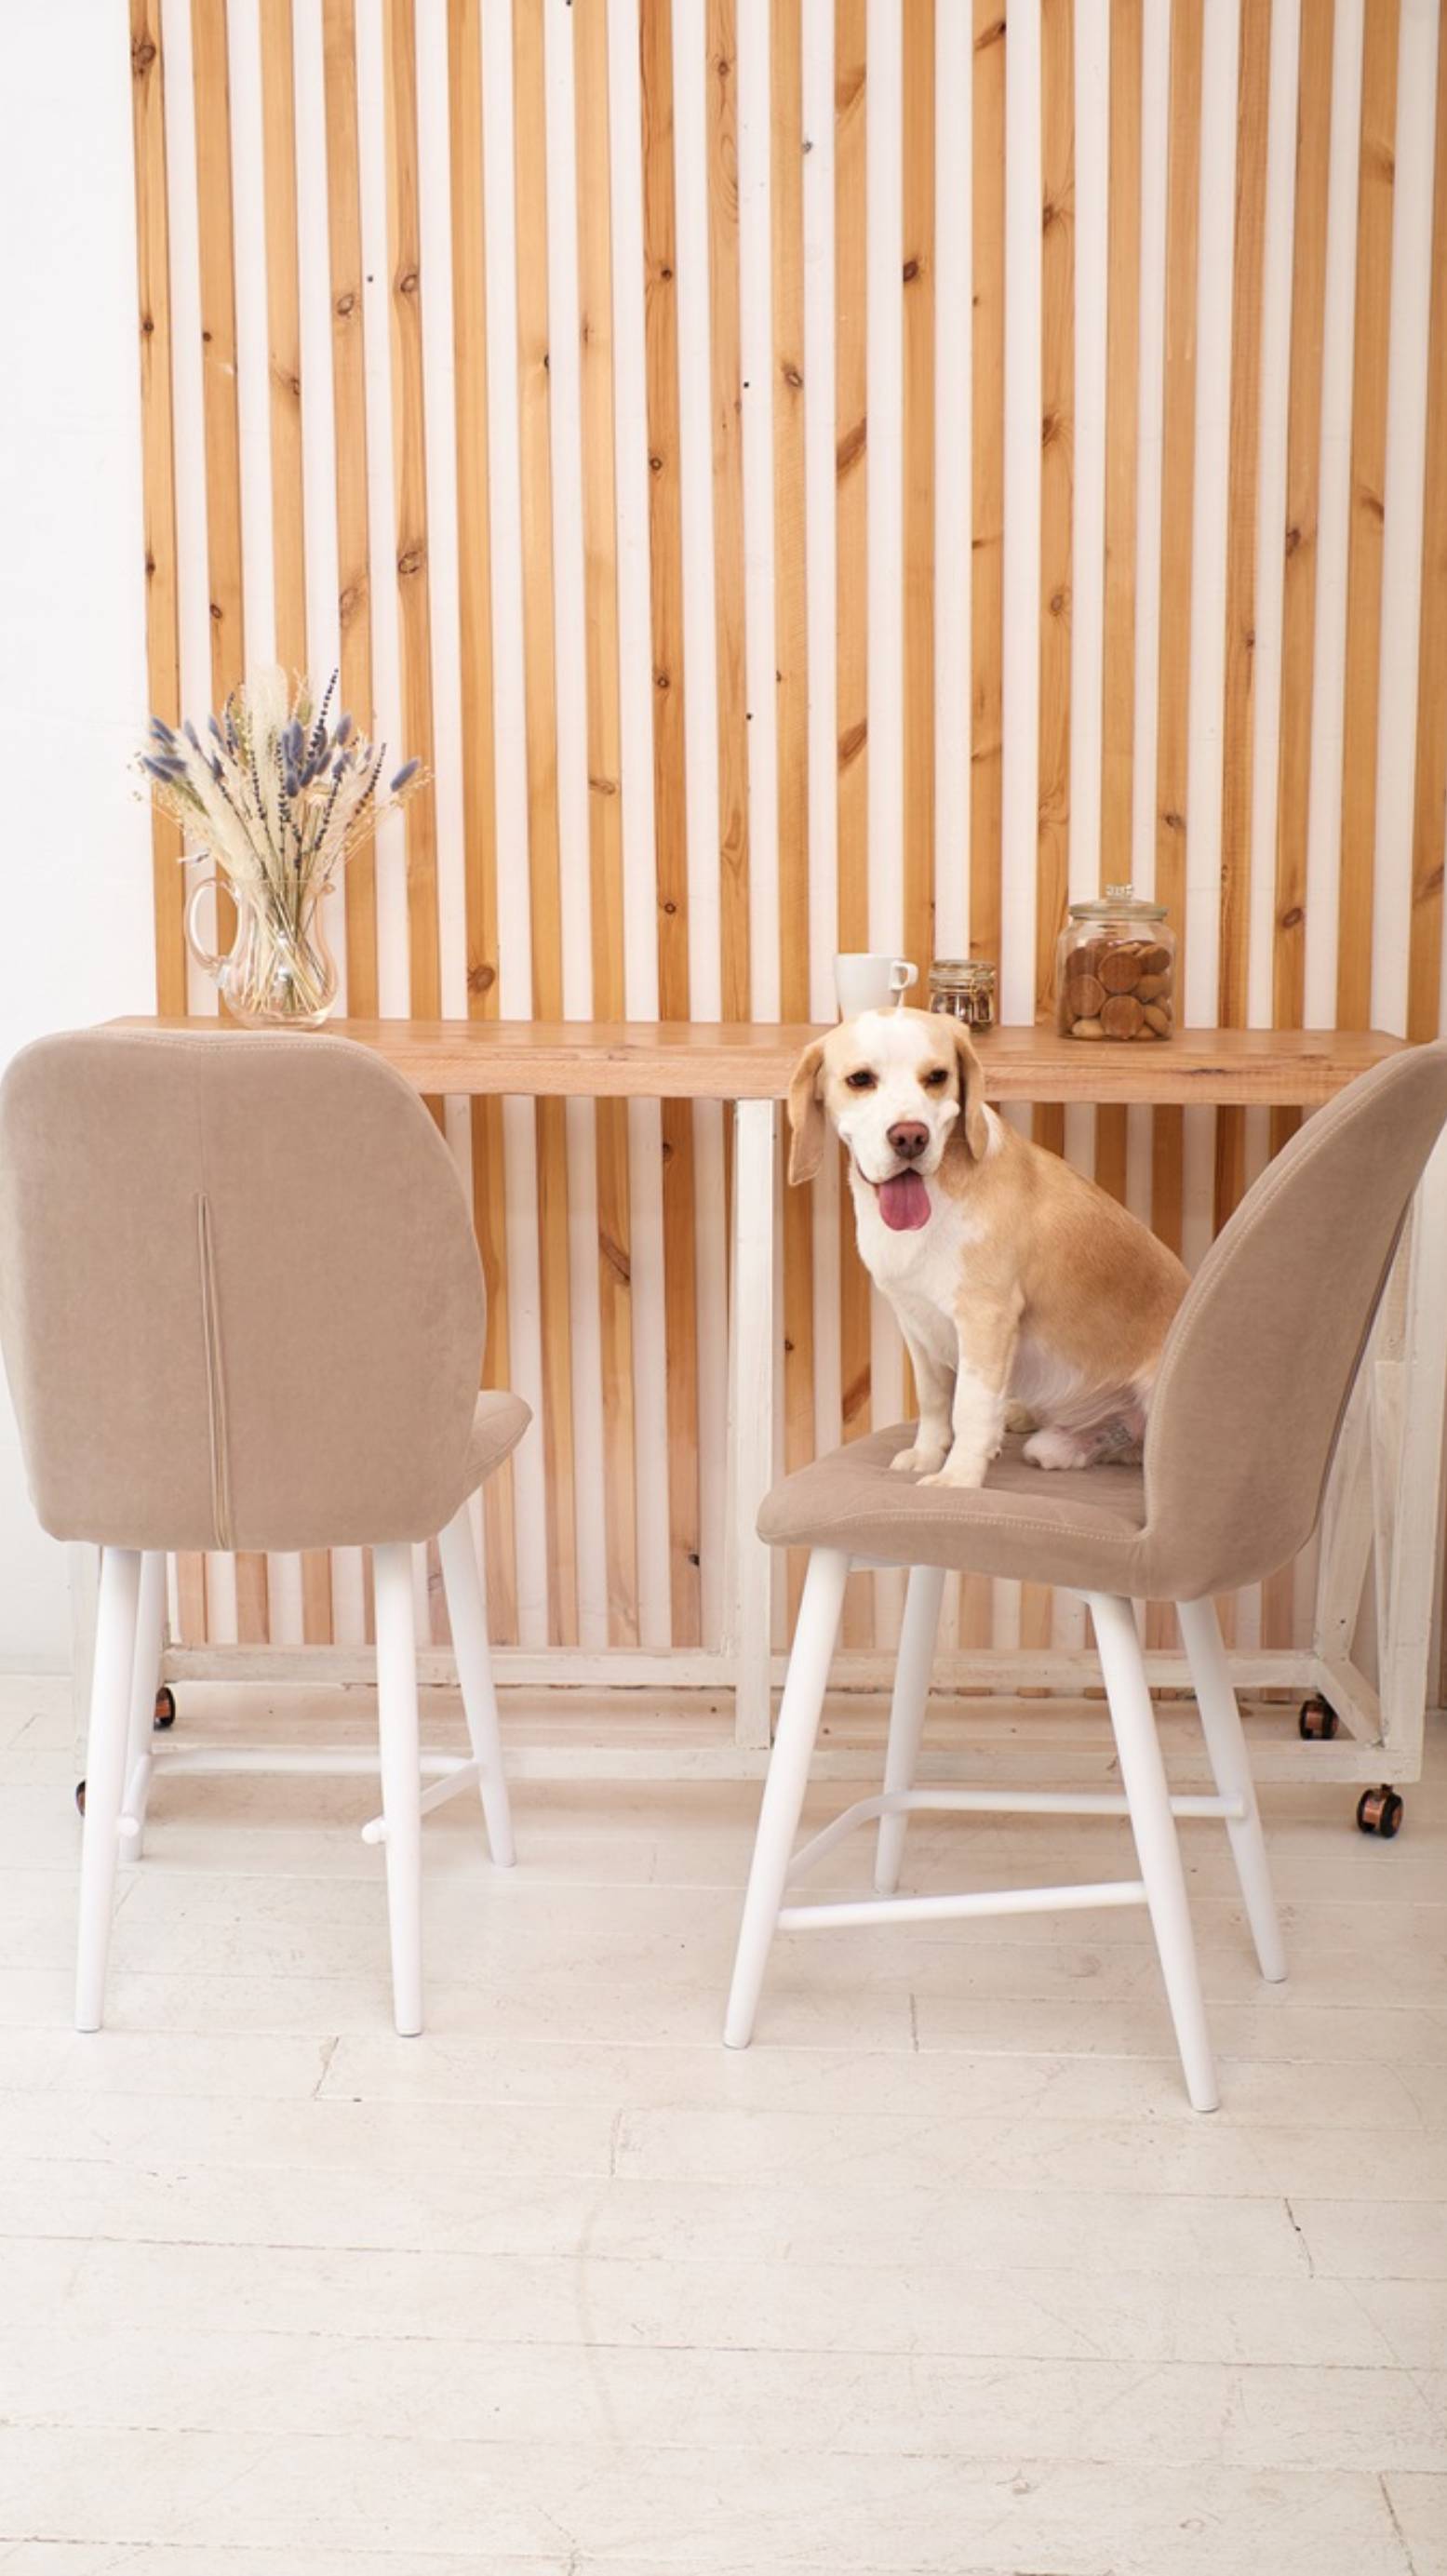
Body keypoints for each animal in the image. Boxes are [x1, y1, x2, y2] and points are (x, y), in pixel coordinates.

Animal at [787, 1008, 1189, 1490]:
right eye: (861, 1079)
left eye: (937, 1076)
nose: (910, 1137)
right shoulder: (915, 1322)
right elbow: (934, 1400)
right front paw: (928, 1455)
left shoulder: (985, 1318)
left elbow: (970, 1407)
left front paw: (958, 1476)